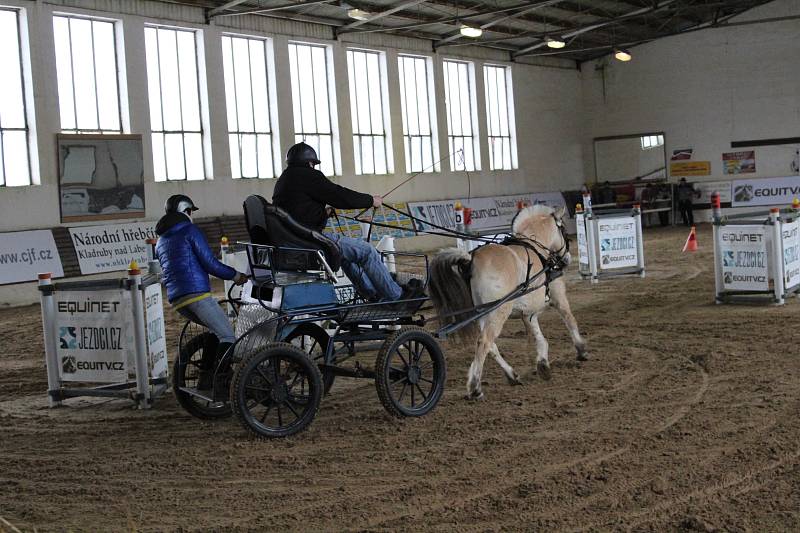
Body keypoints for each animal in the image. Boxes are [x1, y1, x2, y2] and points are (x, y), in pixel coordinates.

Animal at [432, 204, 588, 400]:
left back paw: (511, 375)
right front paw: (581, 350)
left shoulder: (528, 312)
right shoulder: (558, 296)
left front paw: (543, 364)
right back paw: (475, 387)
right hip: (499, 311)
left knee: (490, 345)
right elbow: (570, 320)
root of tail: (471, 260)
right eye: (564, 230)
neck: (537, 248)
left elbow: (539, 337)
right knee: (484, 341)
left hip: (483, 314)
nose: (566, 259)